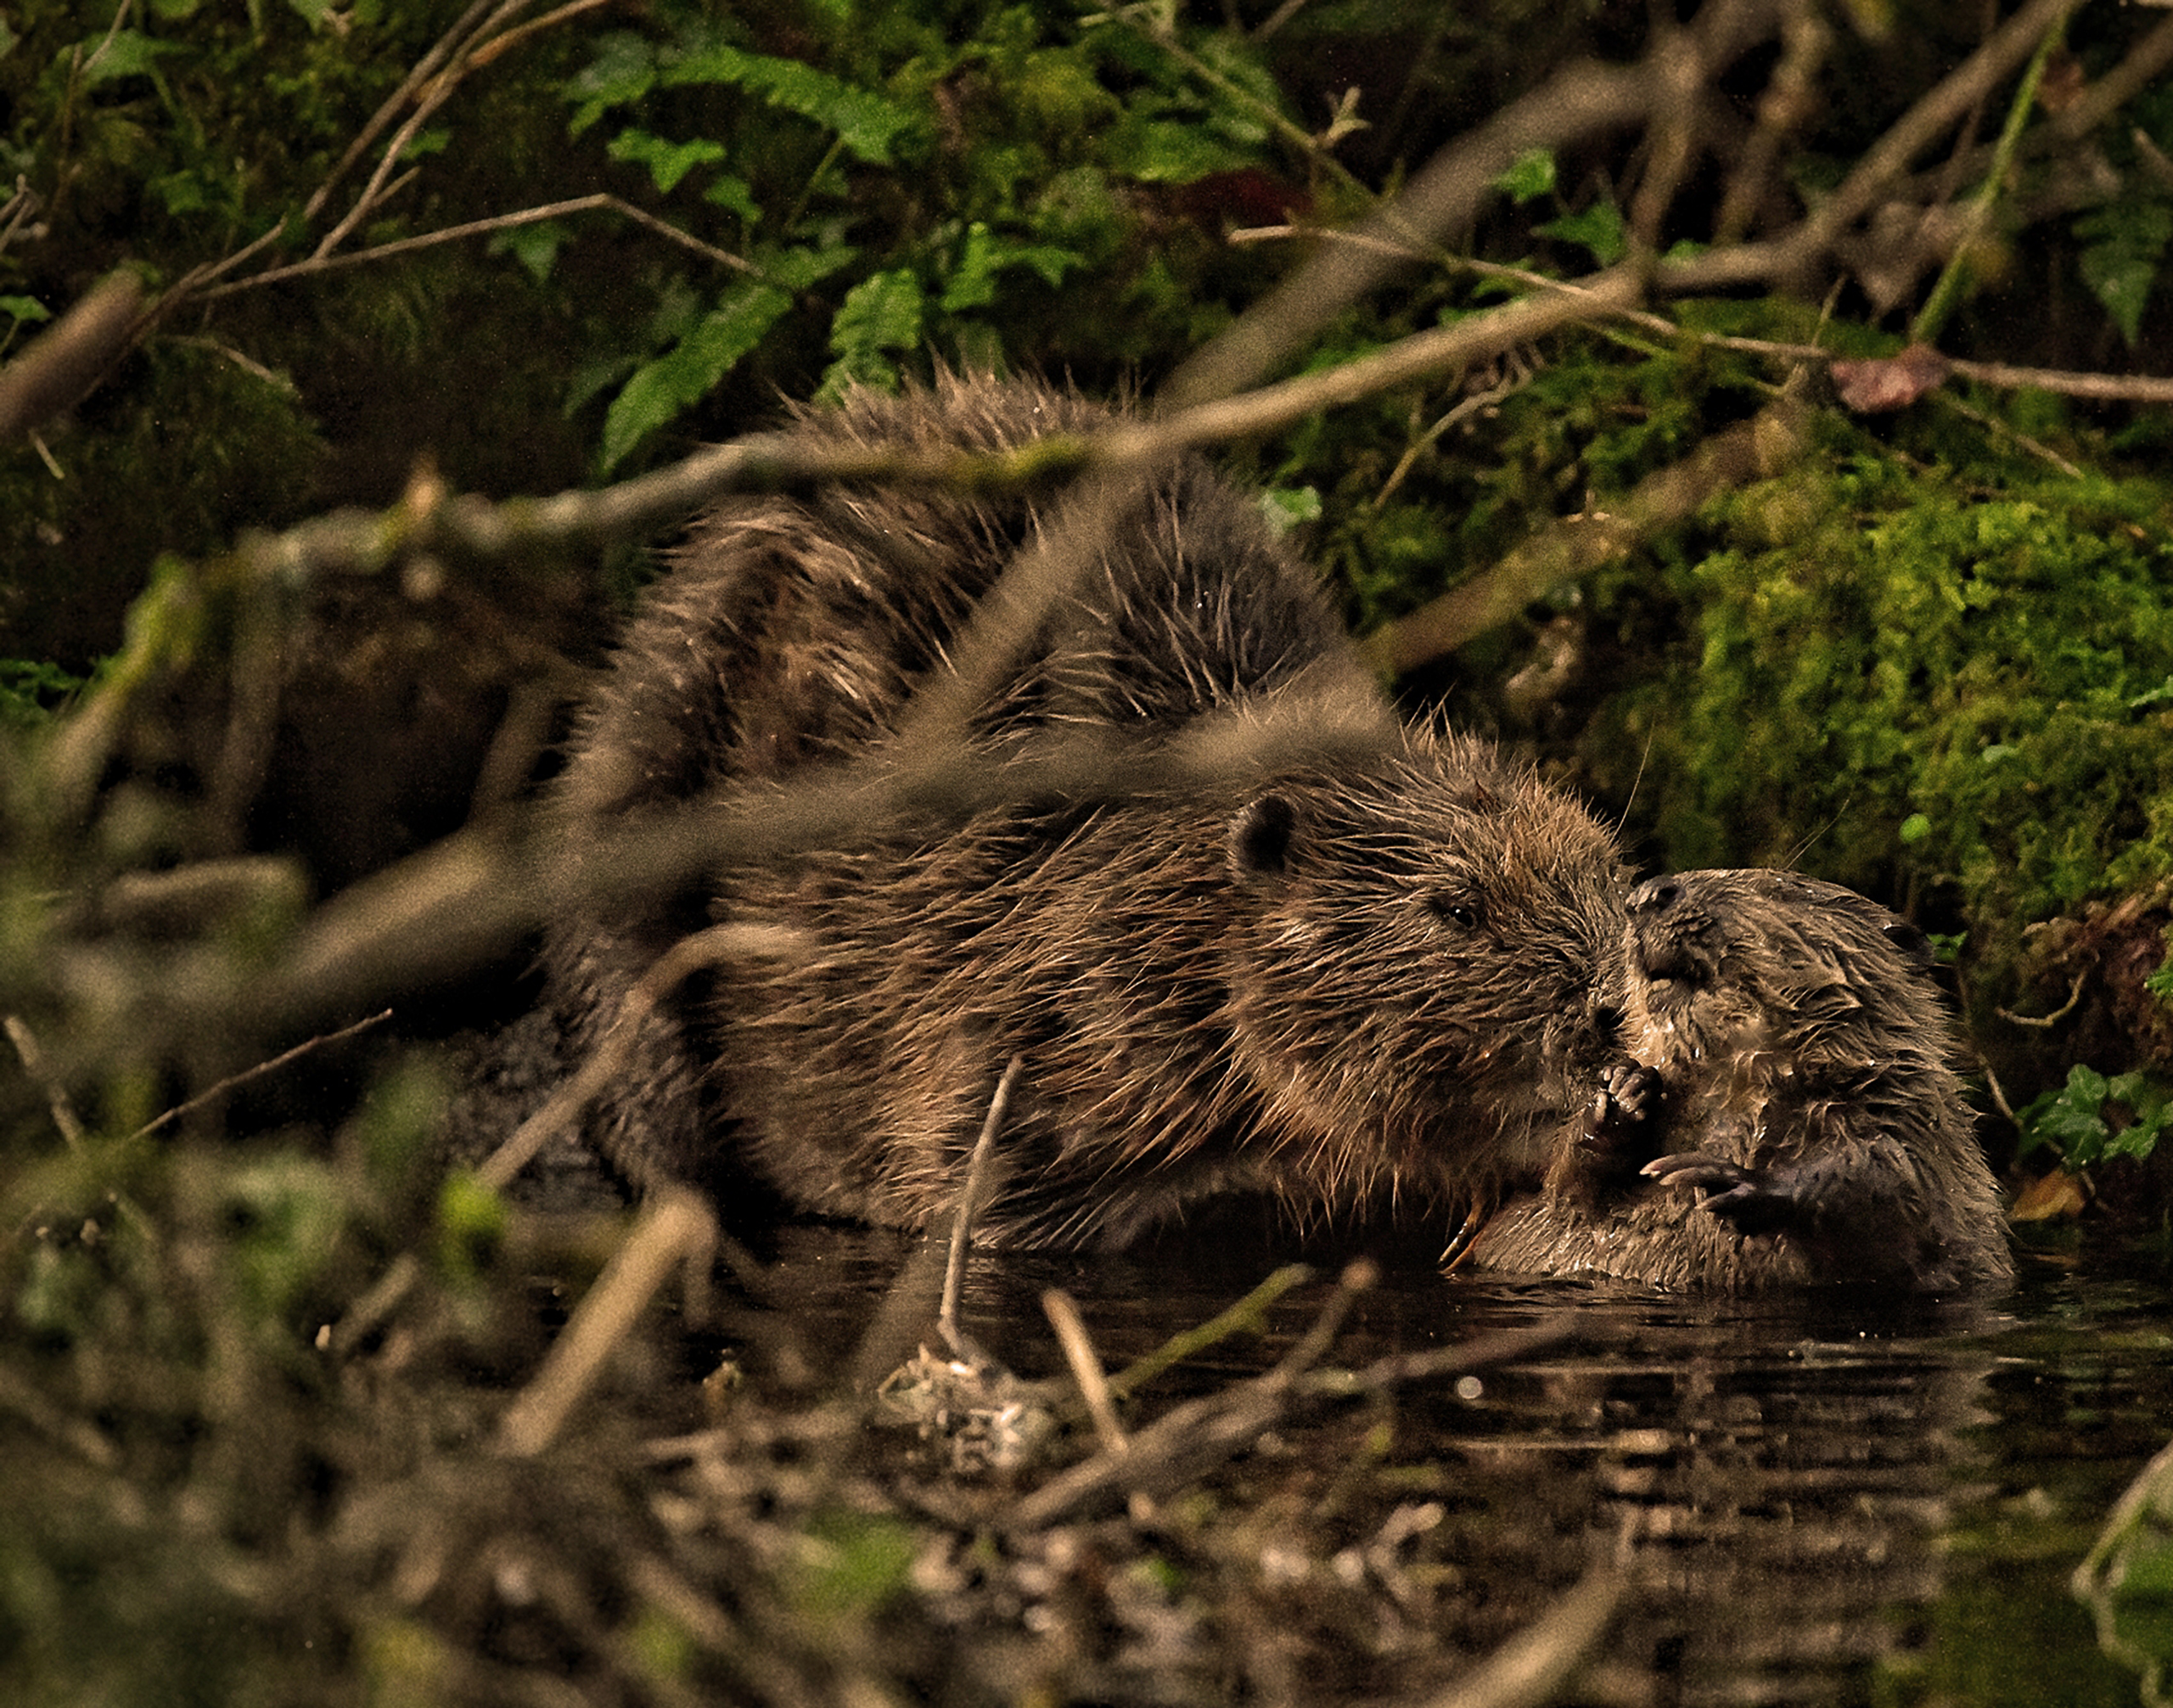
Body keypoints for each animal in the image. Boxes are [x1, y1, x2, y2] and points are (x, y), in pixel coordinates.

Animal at [538, 375, 1634, 1233]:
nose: (1602, 1010)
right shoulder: (1029, 1012)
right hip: (653, 720)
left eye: (1606, 872)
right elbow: (996, 1191)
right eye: (1456, 908)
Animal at [1468, 874, 2007, 1286]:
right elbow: (1559, 1192)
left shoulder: (1907, 1111)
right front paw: (1624, 1091)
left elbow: (1896, 1184)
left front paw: (1718, 1177)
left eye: (1777, 886)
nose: (1645, 895)